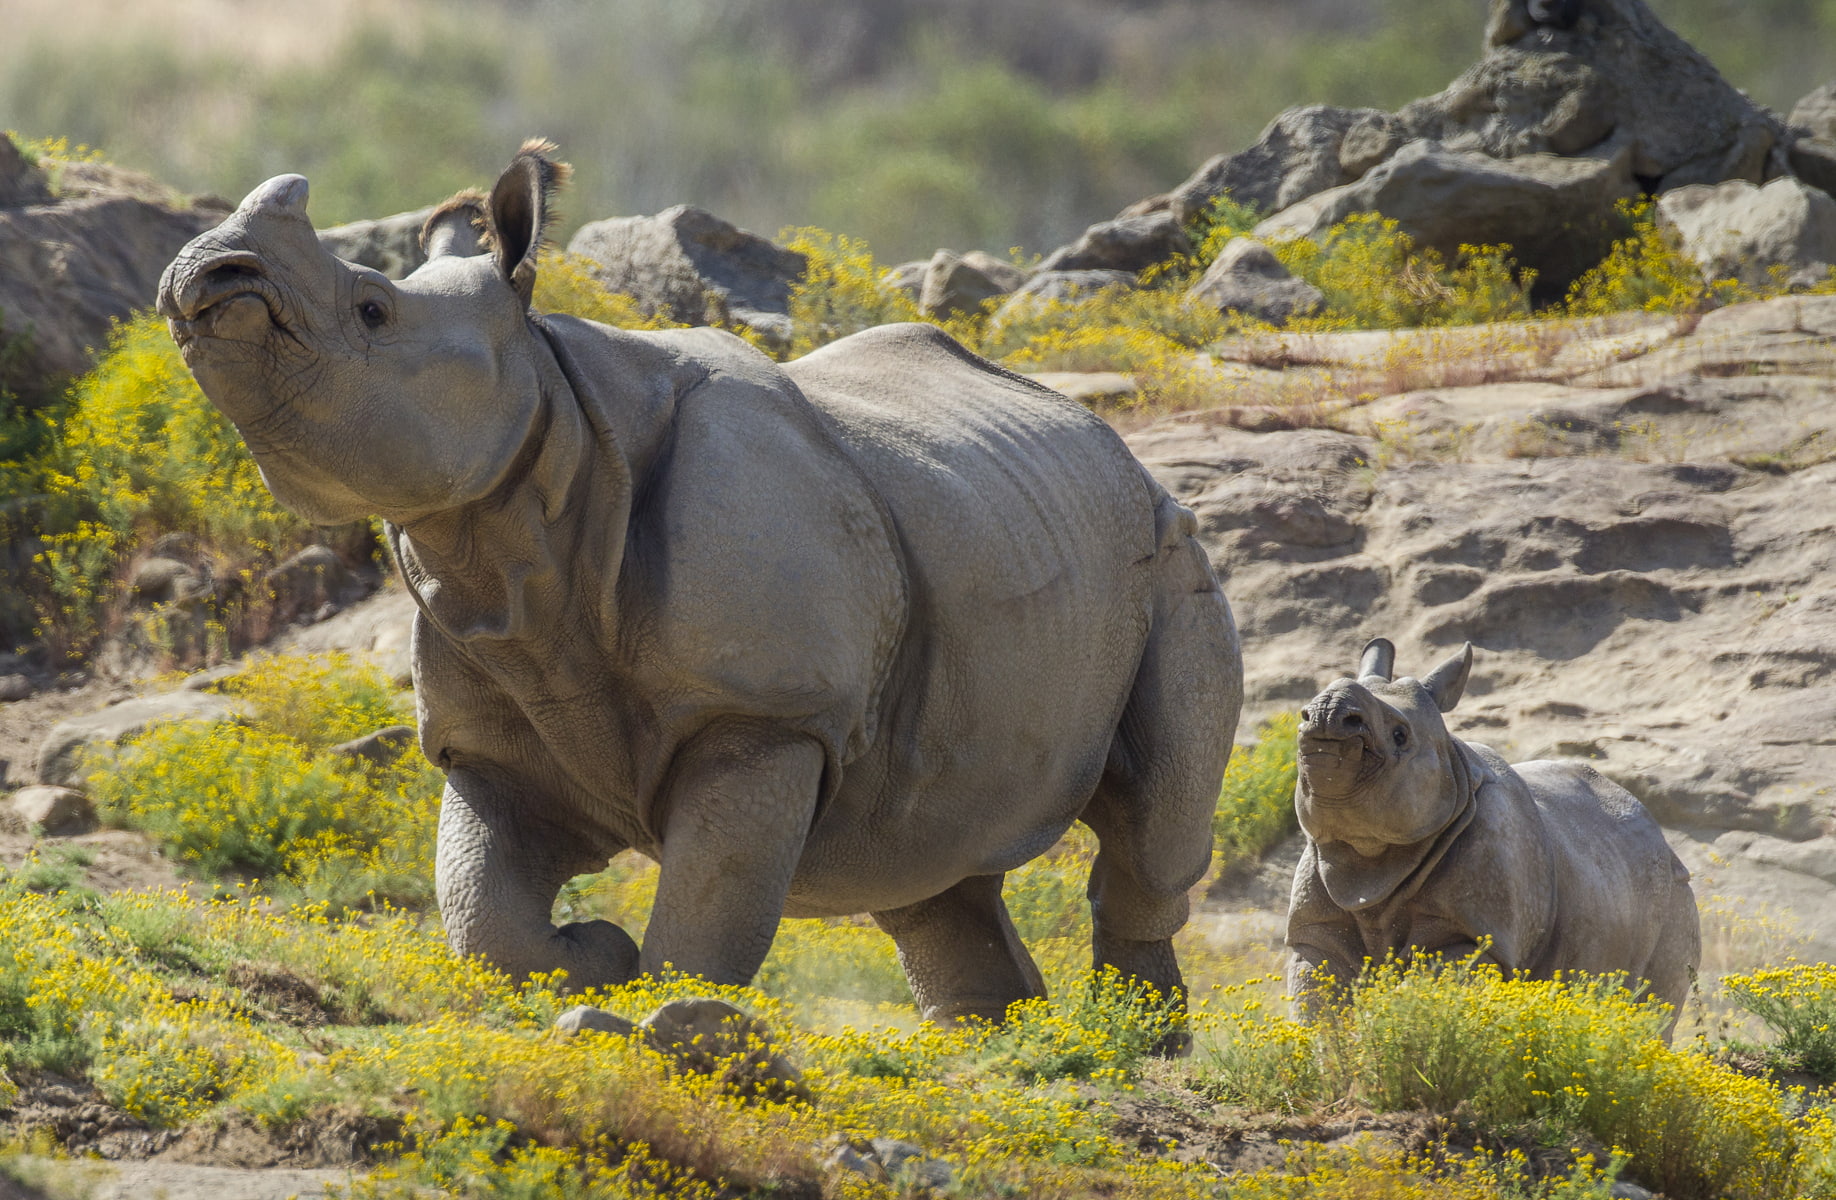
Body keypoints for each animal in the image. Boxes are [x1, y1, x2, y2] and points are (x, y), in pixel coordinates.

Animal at [155, 141, 1243, 1031]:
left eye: (372, 309)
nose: (208, 275)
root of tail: (1120, 451)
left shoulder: (764, 716)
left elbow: (710, 901)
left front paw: (653, 1013)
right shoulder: (491, 730)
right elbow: (483, 915)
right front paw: (588, 959)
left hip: (1173, 554)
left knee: (1148, 826)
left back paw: (1130, 1042)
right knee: (925, 859)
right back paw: (1004, 1042)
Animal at [1285, 638, 1699, 1036]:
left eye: (1400, 735)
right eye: (1303, 717)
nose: (1325, 713)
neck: (1370, 854)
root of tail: (1665, 842)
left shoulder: (1474, 932)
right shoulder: (1316, 929)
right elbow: (1320, 1010)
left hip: (1676, 895)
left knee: (1652, 1012)